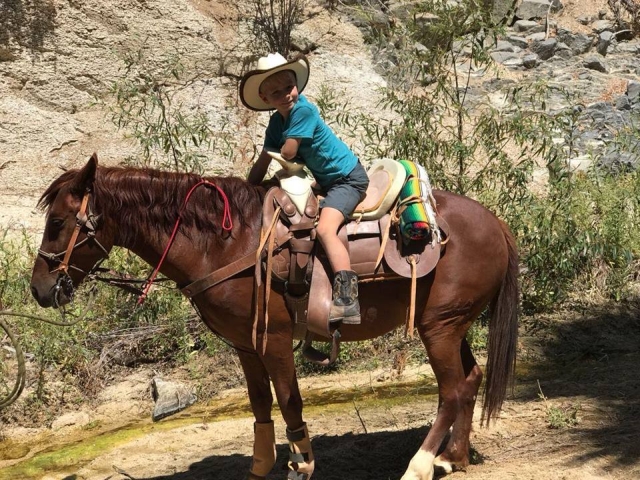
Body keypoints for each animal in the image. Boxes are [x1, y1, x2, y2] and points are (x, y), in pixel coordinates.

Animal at [31, 154, 520, 480]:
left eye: (57, 223)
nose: (38, 290)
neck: (228, 243)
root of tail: (497, 223)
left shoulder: (276, 340)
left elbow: (290, 402)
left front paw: (302, 463)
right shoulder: (246, 345)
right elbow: (261, 404)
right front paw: (262, 465)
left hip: (440, 328)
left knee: (452, 390)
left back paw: (419, 465)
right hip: (449, 323)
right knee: (470, 380)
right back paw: (453, 457)